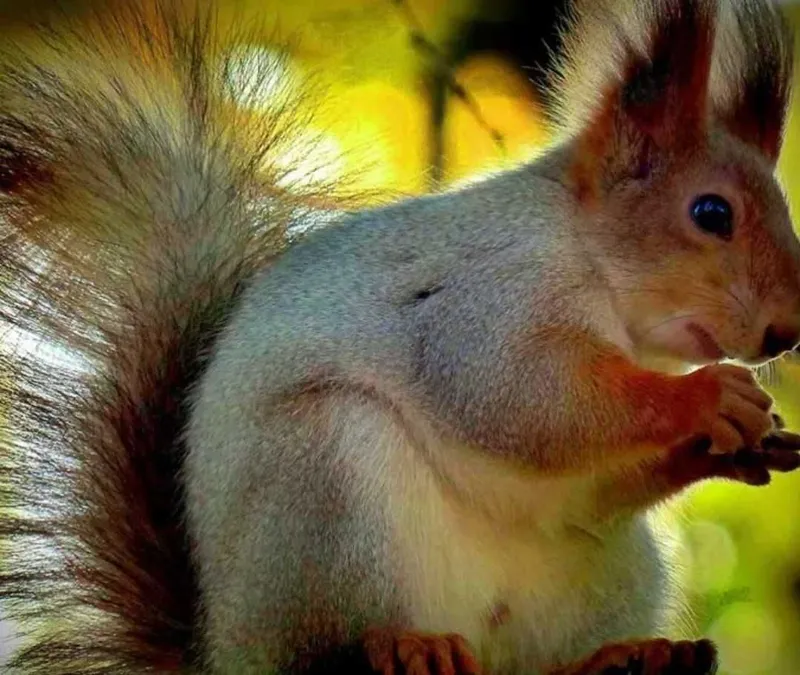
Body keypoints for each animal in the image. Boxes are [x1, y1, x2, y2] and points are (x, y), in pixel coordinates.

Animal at [0, 0, 799, 673]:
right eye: (711, 213)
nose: (785, 332)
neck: (590, 255)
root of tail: (220, 650)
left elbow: (588, 488)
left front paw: (742, 444)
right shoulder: (485, 298)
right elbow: (524, 397)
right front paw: (706, 399)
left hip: (611, 570)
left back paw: (622, 657)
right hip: (328, 485)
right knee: (332, 642)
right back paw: (409, 642)